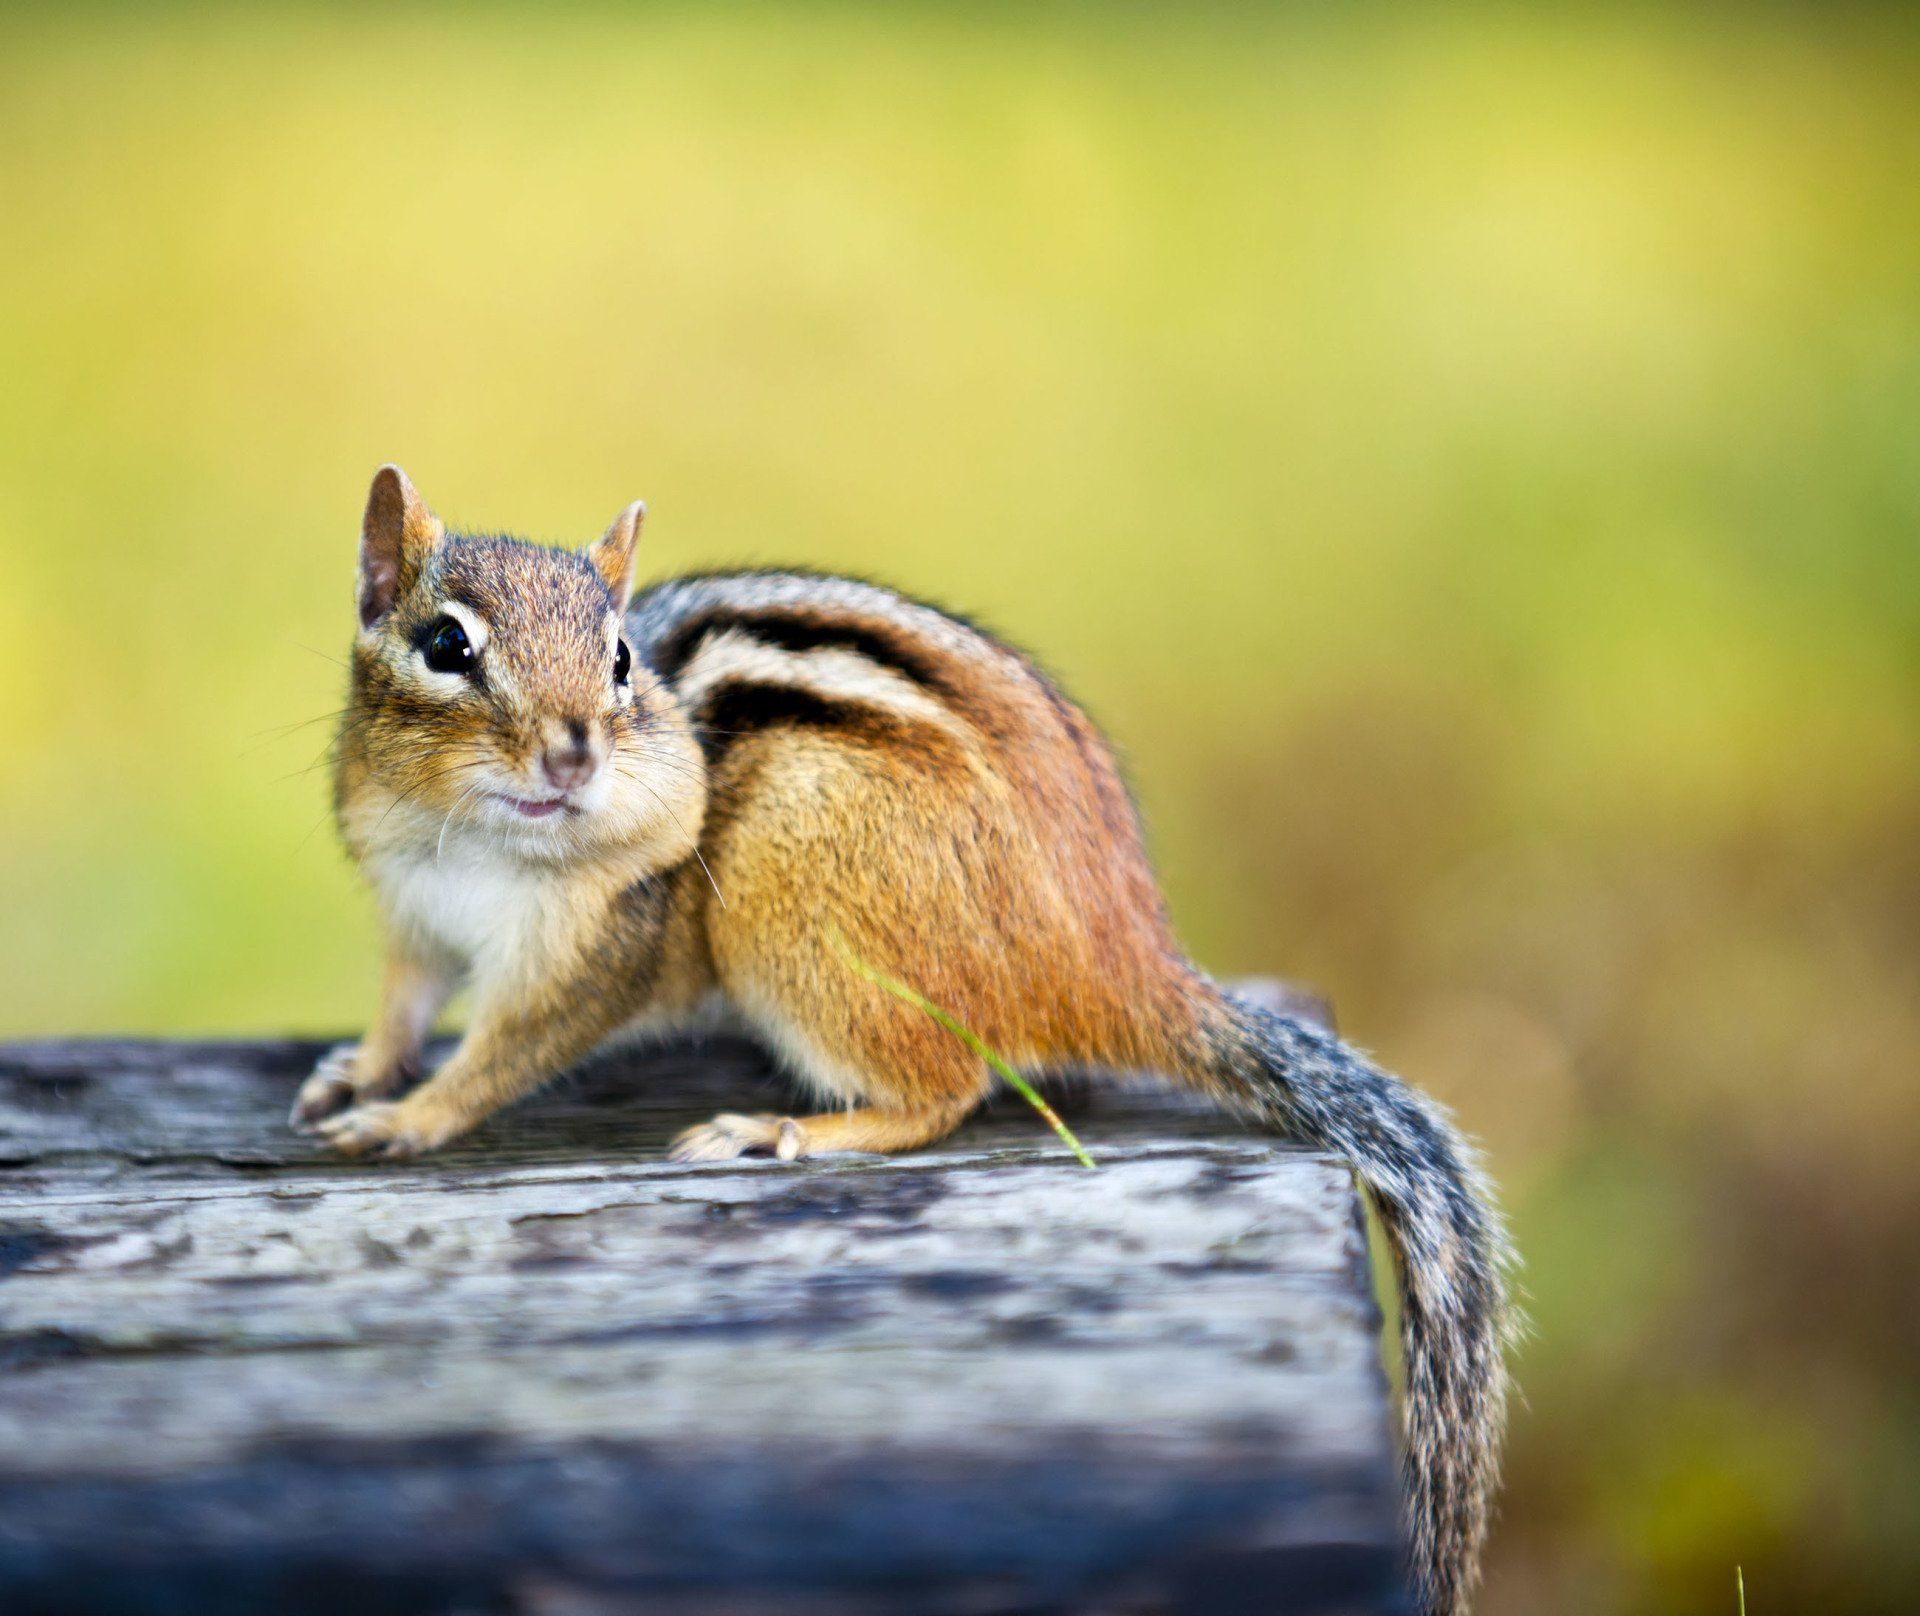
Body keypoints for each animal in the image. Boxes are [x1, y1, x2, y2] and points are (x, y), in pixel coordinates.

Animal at [296, 464, 1514, 1615]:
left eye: (622, 658)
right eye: (447, 645)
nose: (574, 756)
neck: (472, 844)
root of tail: (1122, 954)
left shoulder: (600, 953)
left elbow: (504, 1054)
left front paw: (409, 1116)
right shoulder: (412, 912)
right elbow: (406, 1002)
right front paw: (360, 1070)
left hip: (782, 906)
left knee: (948, 1086)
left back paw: (784, 1128)